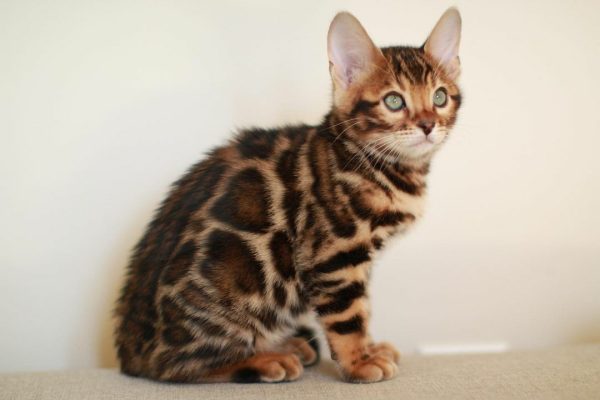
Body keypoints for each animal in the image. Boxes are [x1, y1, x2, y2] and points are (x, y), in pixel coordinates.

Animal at [116, 7, 464, 382]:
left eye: (440, 97)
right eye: (394, 101)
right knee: (174, 367)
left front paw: (370, 348)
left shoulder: (360, 259)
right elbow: (348, 316)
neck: (384, 166)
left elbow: (365, 307)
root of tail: (129, 351)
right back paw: (265, 359)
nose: (428, 125)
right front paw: (359, 362)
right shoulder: (335, 255)